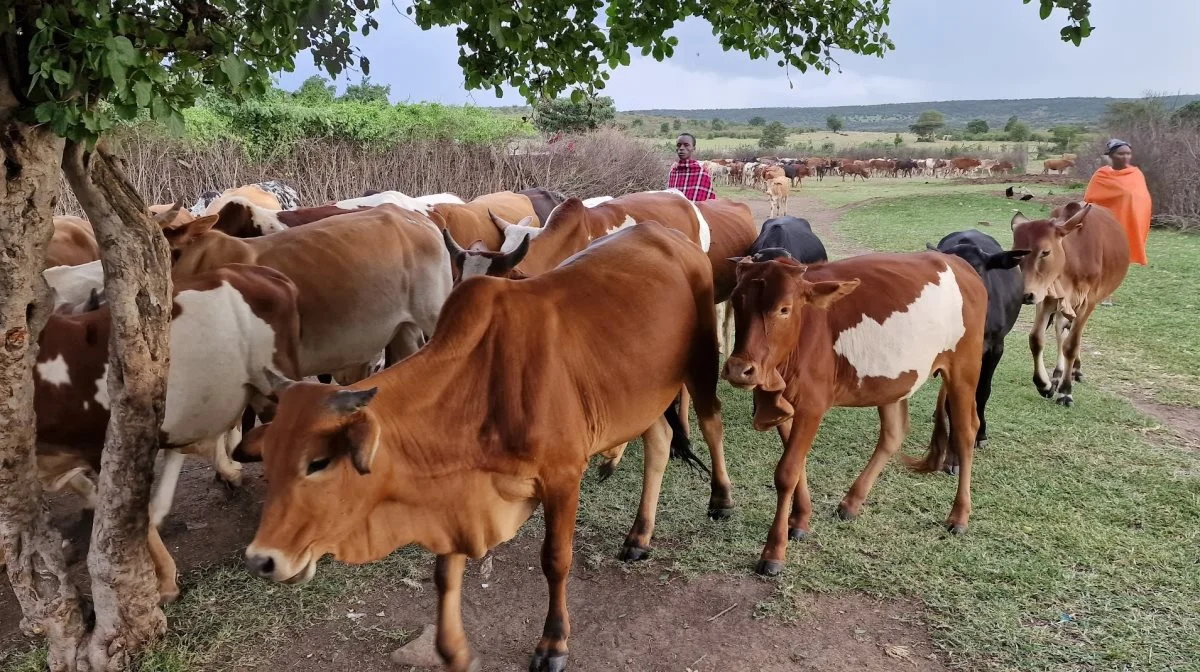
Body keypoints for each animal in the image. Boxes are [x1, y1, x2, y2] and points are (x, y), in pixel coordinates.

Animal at [231, 222, 720, 672]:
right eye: (269, 464)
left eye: (318, 462)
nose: (262, 560)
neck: (480, 381)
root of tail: (666, 234)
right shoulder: (454, 490)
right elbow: (445, 573)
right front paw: (453, 650)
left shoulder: (563, 477)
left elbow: (556, 560)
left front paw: (553, 644)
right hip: (643, 396)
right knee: (659, 442)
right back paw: (639, 537)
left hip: (701, 363)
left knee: (712, 422)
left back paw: (722, 501)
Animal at [720, 252, 984, 578]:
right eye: (737, 300)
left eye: (784, 309)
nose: (738, 369)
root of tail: (961, 265)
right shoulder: (785, 407)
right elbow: (798, 466)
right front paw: (800, 520)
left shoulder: (812, 406)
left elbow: (786, 473)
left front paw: (774, 551)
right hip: (892, 381)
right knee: (894, 433)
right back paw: (851, 502)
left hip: (964, 370)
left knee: (965, 432)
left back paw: (959, 516)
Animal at [1008, 201, 1128, 408]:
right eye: (1017, 254)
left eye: (1045, 252)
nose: (1025, 294)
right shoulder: (1047, 297)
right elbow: (1036, 339)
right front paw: (1045, 385)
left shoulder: (1087, 302)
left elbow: (1071, 345)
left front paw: (1065, 392)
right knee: (1060, 329)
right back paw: (1057, 374)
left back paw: (1074, 370)